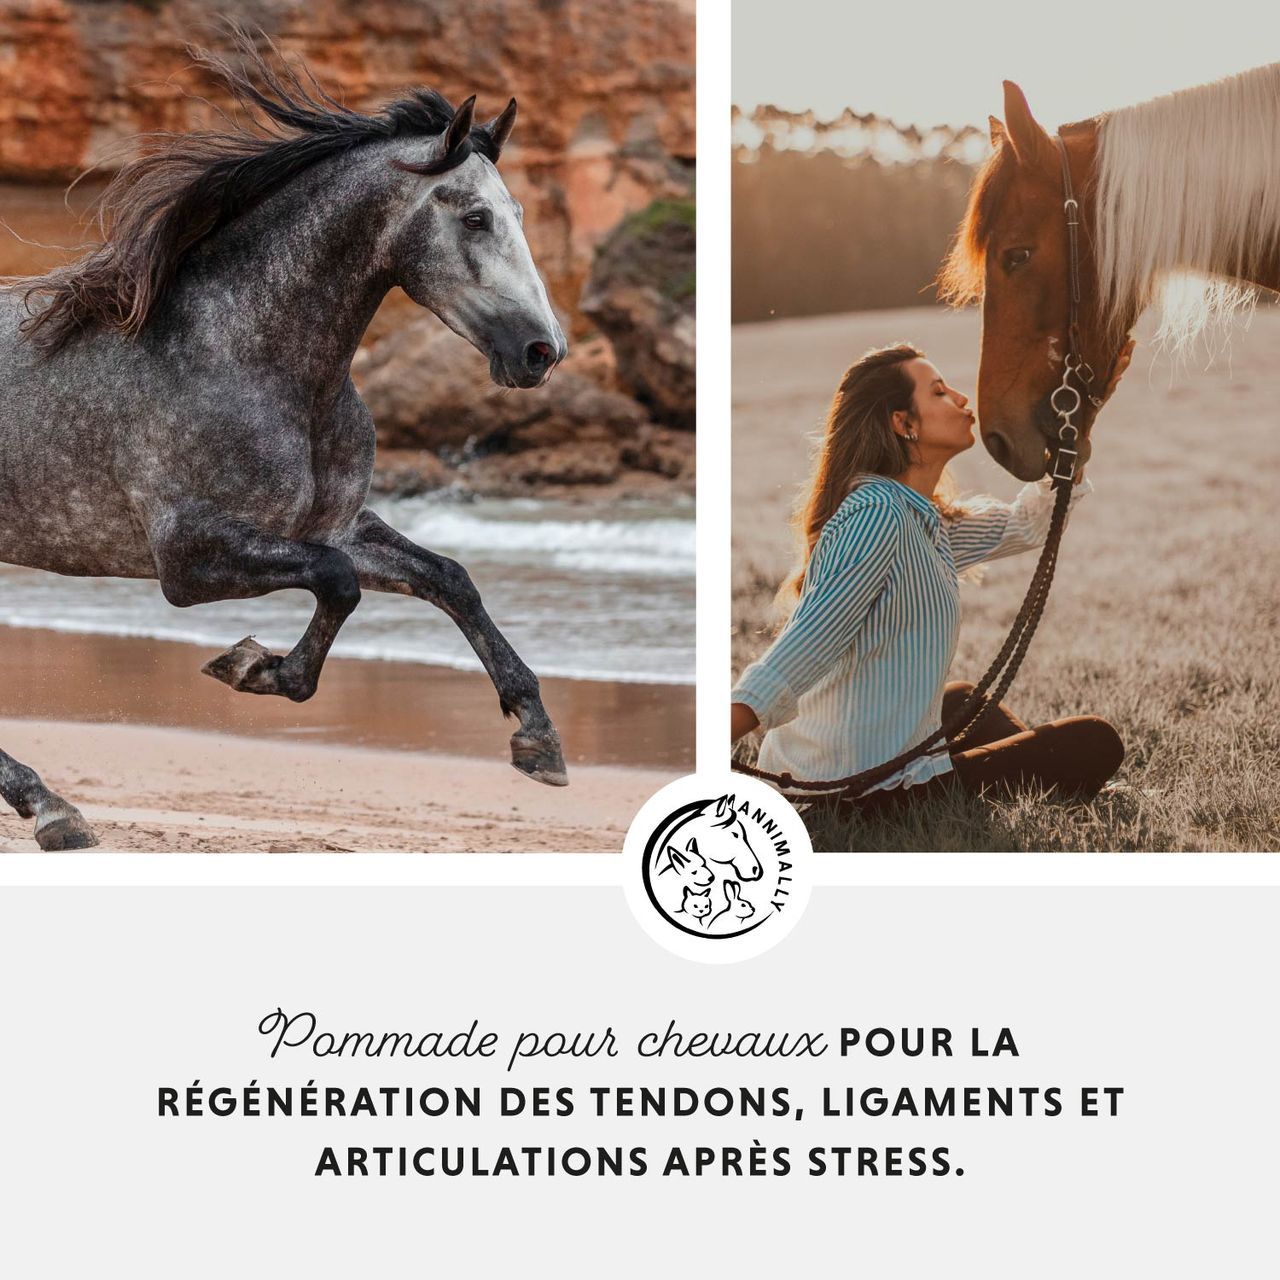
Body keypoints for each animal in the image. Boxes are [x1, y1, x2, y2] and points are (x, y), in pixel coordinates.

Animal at [0, 34, 570, 850]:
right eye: (474, 218)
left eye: (518, 212)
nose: (541, 351)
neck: (247, 354)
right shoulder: (189, 559)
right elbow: (339, 583)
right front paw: (251, 668)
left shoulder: (328, 525)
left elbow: (449, 578)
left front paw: (538, 738)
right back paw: (52, 810)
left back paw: (51, 806)